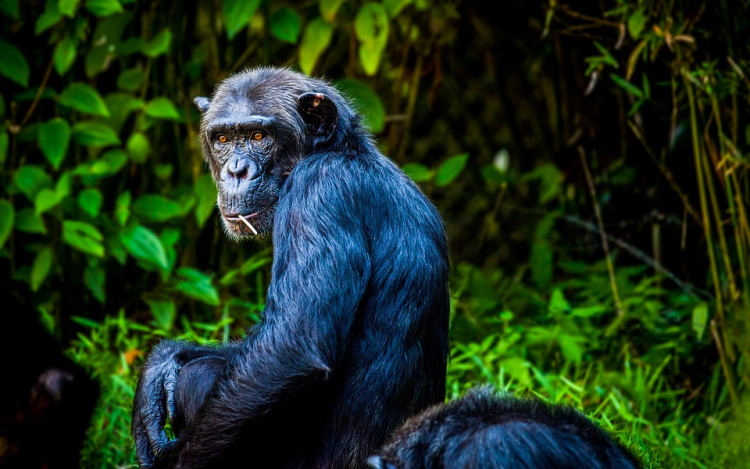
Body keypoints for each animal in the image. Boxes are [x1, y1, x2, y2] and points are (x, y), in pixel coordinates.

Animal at [131, 68, 452, 468]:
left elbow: (289, 347)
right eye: (223, 139)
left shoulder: (317, 193)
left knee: (200, 378)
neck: (339, 152)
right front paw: (160, 368)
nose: (236, 171)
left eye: (258, 136)